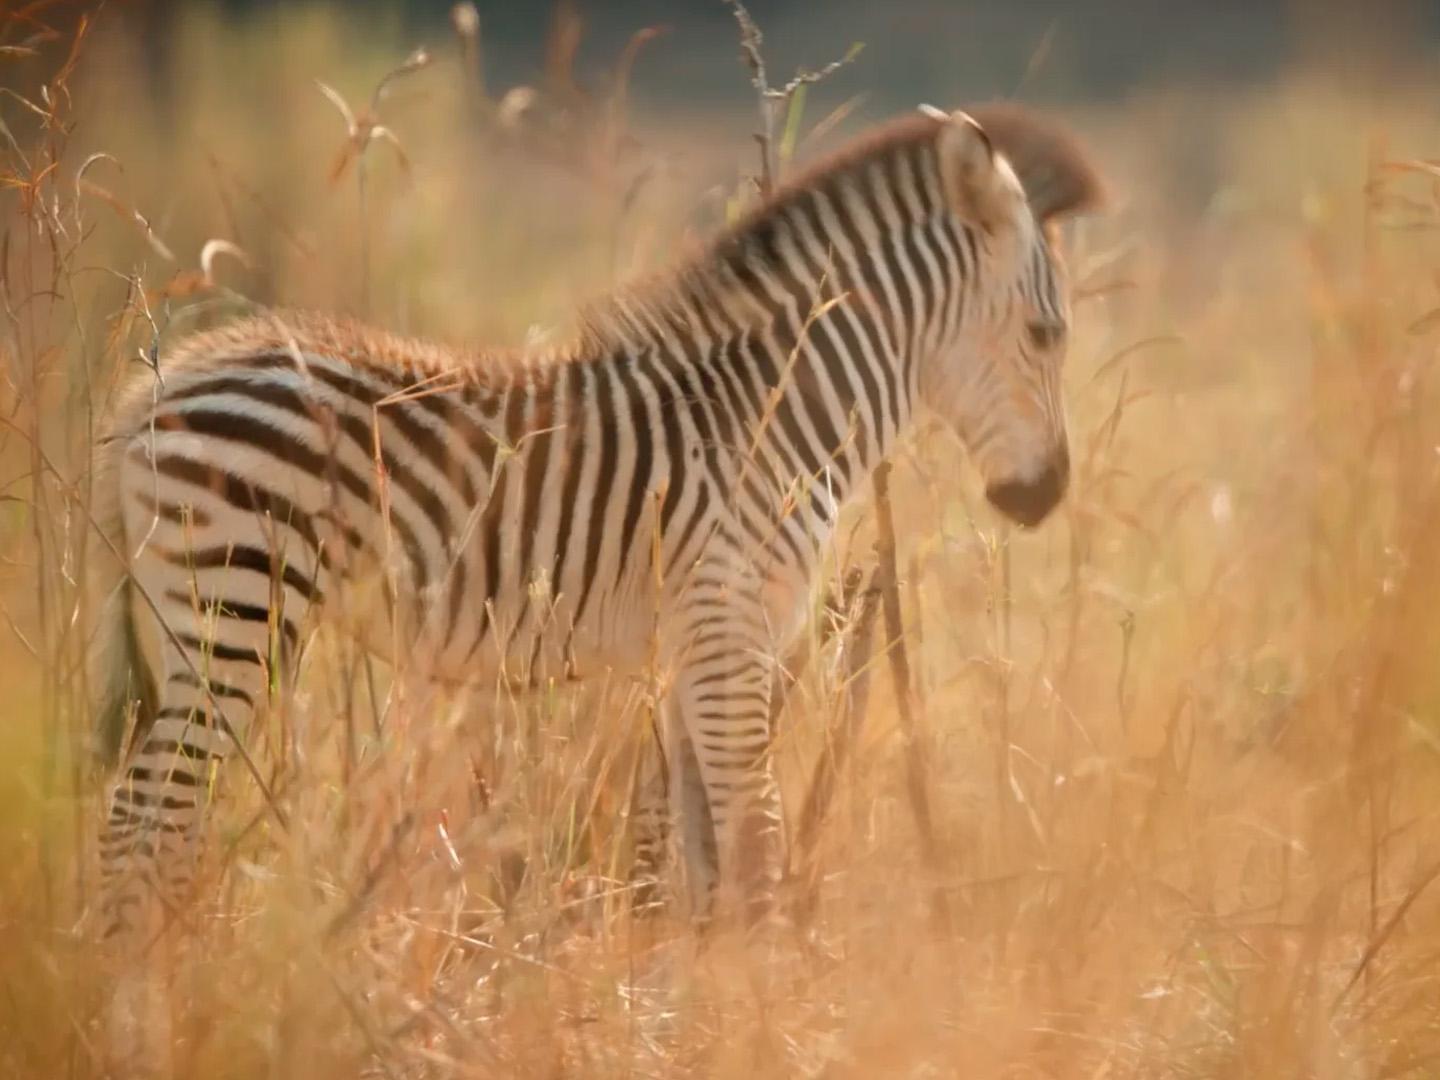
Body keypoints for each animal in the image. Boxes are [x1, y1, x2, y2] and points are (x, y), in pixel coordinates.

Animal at [90, 105, 1100, 944]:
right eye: (1047, 335)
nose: (1047, 495)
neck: (773, 419)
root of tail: (150, 391)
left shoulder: (695, 652)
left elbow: (698, 860)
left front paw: (706, 1006)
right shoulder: (729, 630)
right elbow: (755, 848)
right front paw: (764, 1017)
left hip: (187, 626)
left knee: (136, 818)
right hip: (234, 610)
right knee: (148, 824)